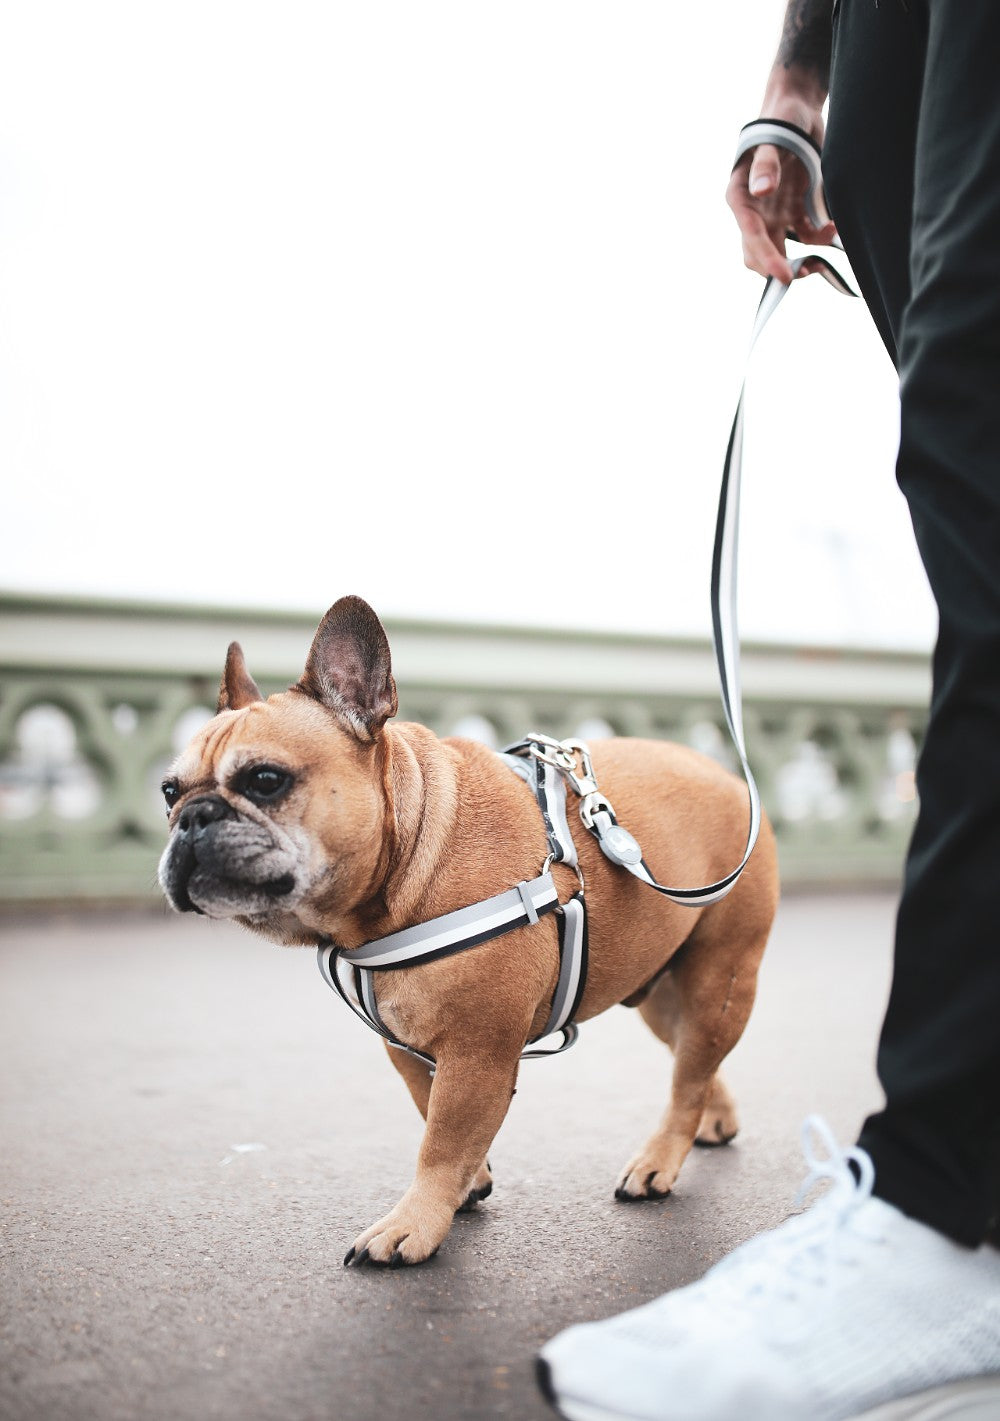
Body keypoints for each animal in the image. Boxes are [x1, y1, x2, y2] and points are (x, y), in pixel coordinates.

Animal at [160, 593, 778, 1261]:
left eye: (265, 780)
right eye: (168, 790)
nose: (190, 818)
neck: (410, 860)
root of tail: (733, 779)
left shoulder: (476, 1053)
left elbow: (442, 1139)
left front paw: (412, 1224)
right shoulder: (407, 1043)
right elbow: (429, 1112)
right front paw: (465, 1186)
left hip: (720, 978)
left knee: (690, 1073)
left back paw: (660, 1160)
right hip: (660, 991)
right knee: (694, 1061)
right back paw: (711, 1122)